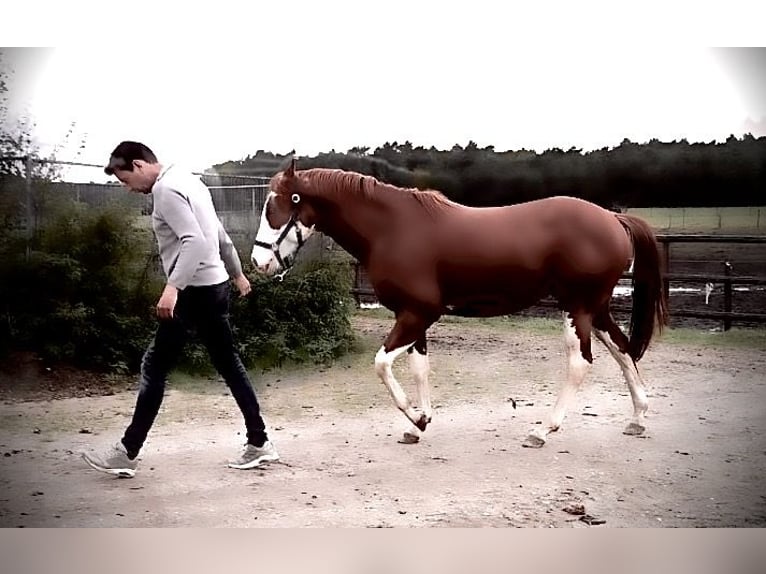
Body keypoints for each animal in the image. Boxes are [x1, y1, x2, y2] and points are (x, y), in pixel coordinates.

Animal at [250, 162, 664, 450]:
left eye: (278, 205)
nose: (258, 263)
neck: (393, 228)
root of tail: (613, 217)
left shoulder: (418, 313)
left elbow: (382, 364)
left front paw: (416, 418)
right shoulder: (413, 316)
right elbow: (419, 368)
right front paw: (419, 423)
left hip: (576, 308)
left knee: (581, 363)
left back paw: (542, 430)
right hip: (595, 308)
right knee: (623, 350)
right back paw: (638, 418)